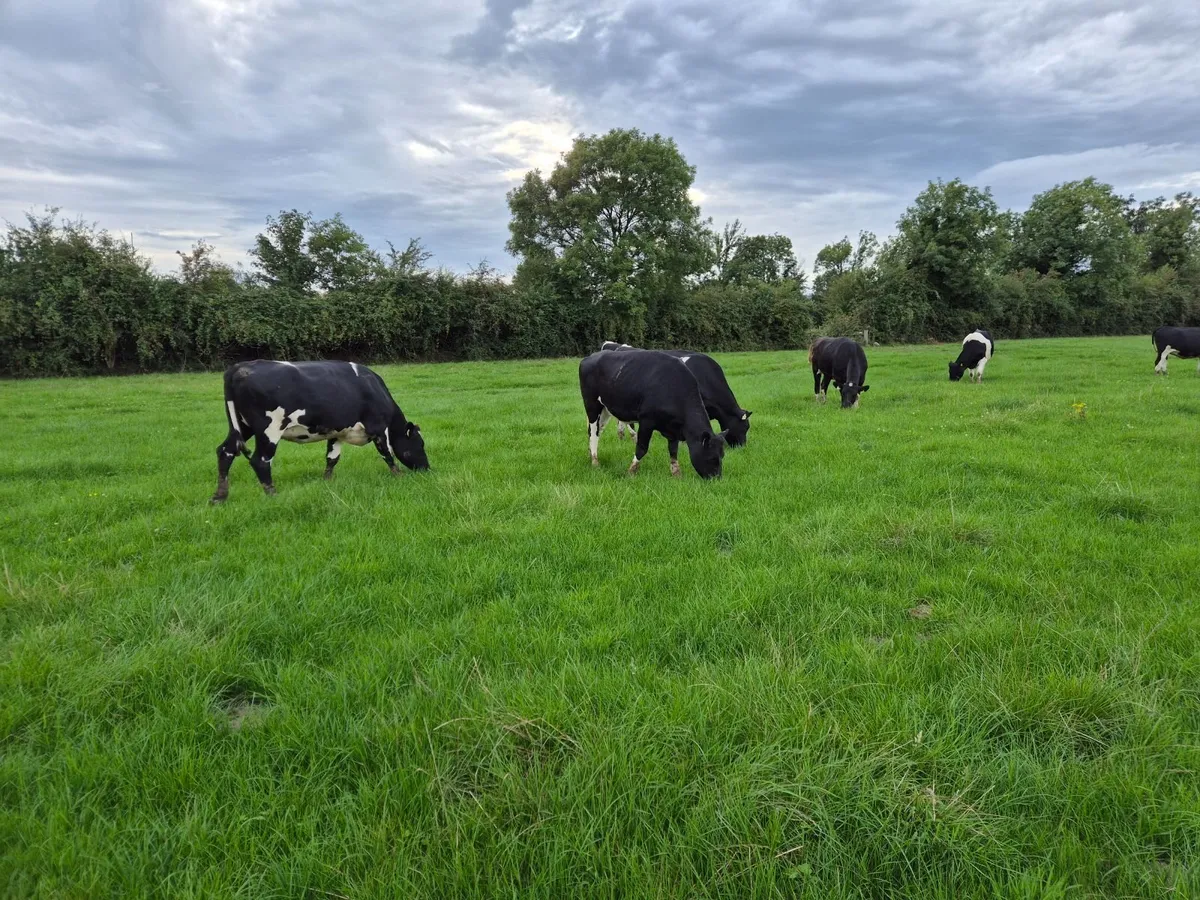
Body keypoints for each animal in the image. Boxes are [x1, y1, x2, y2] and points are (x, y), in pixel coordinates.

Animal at [211, 359, 428, 503]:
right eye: (420, 444)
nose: (426, 468)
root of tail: (238, 368)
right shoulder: (378, 428)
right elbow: (387, 454)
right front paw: (399, 476)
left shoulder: (336, 432)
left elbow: (332, 458)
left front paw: (327, 482)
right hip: (269, 429)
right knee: (261, 461)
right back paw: (273, 494)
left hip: (242, 426)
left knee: (226, 451)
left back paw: (219, 496)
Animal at [579, 349, 728, 479]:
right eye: (712, 458)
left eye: (722, 456)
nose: (716, 479)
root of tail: (590, 357)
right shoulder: (646, 421)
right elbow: (642, 448)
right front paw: (631, 471)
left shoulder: (673, 428)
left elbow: (673, 450)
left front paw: (676, 474)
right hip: (592, 405)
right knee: (594, 432)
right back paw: (595, 462)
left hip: (605, 409)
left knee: (597, 431)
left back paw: (590, 454)